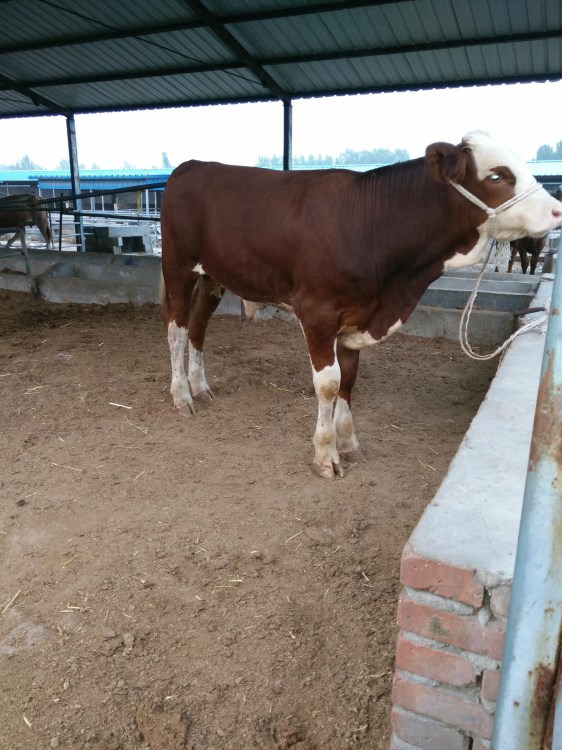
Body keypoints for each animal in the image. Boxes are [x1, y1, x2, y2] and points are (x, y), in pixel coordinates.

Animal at [158, 131, 560, 478]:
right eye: (497, 175)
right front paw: (325, 454)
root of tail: (193, 165)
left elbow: (349, 379)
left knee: (197, 327)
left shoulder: (357, 317)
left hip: (213, 277)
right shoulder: (317, 312)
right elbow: (328, 383)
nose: (557, 210)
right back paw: (181, 396)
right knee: (176, 330)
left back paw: (200, 386)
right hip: (177, 266)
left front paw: (348, 442)